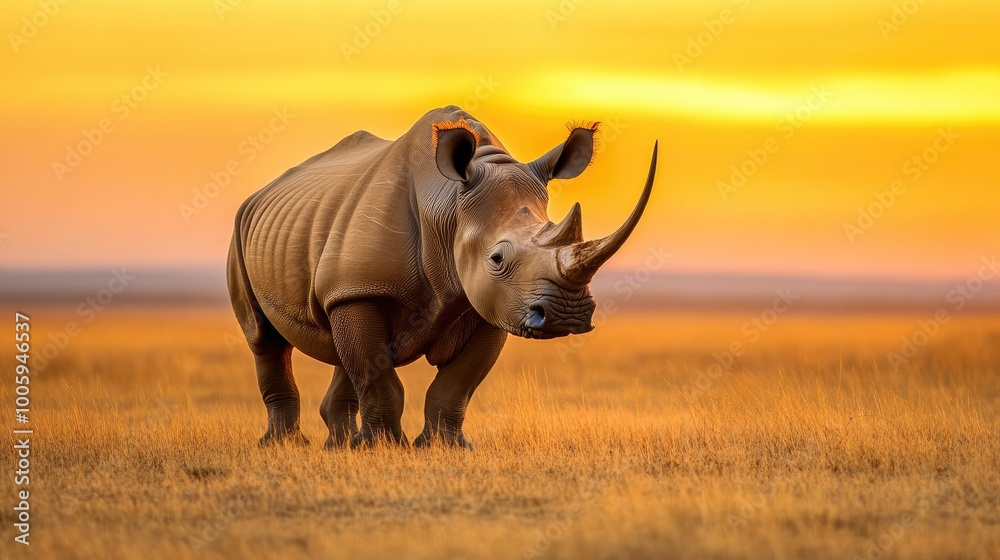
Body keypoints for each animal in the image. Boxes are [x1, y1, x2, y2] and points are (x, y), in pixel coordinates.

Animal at [227, 106, 657, 449]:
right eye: (497, 258)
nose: (567, 315)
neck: (449, 207)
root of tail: (261, 192)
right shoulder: (364, 288)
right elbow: (378, 375)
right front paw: (385, 449)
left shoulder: (494, 303)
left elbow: (458, 382)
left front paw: (445, 447)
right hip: (244, 229)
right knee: (264, 338)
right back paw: (284, 445)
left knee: (339, 341)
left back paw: (339, 445)